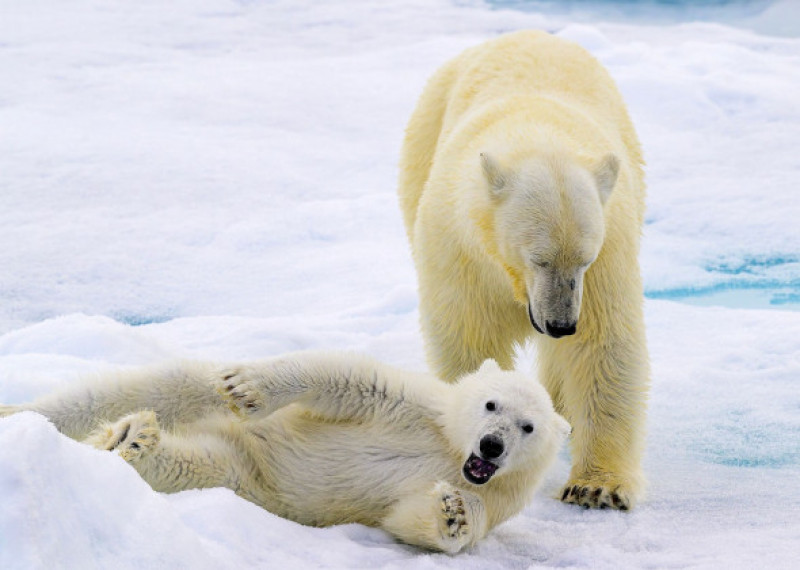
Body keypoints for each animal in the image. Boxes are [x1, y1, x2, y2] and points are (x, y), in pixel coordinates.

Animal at [3, 350, 572, 552]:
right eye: (490, 403)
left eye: (528, 427)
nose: (491, 446)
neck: (449, 449)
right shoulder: (414, 407)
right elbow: (344, 379)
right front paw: (248, 386)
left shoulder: (498, 496)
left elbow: (410, 518)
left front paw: (453, 513)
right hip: (200, 402)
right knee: (145, 387)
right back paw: (28, 417)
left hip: (247, 475)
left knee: (196, 465)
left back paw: (133, 442)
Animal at [398, 31, 648, 508]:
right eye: (539, 258)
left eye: (583, 259)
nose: (561, 324)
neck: (538, 134)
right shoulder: (463, 249)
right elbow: (469, 335)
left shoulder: (610, 250)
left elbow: (603, 343)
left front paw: (596, 486)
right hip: (422, 141)